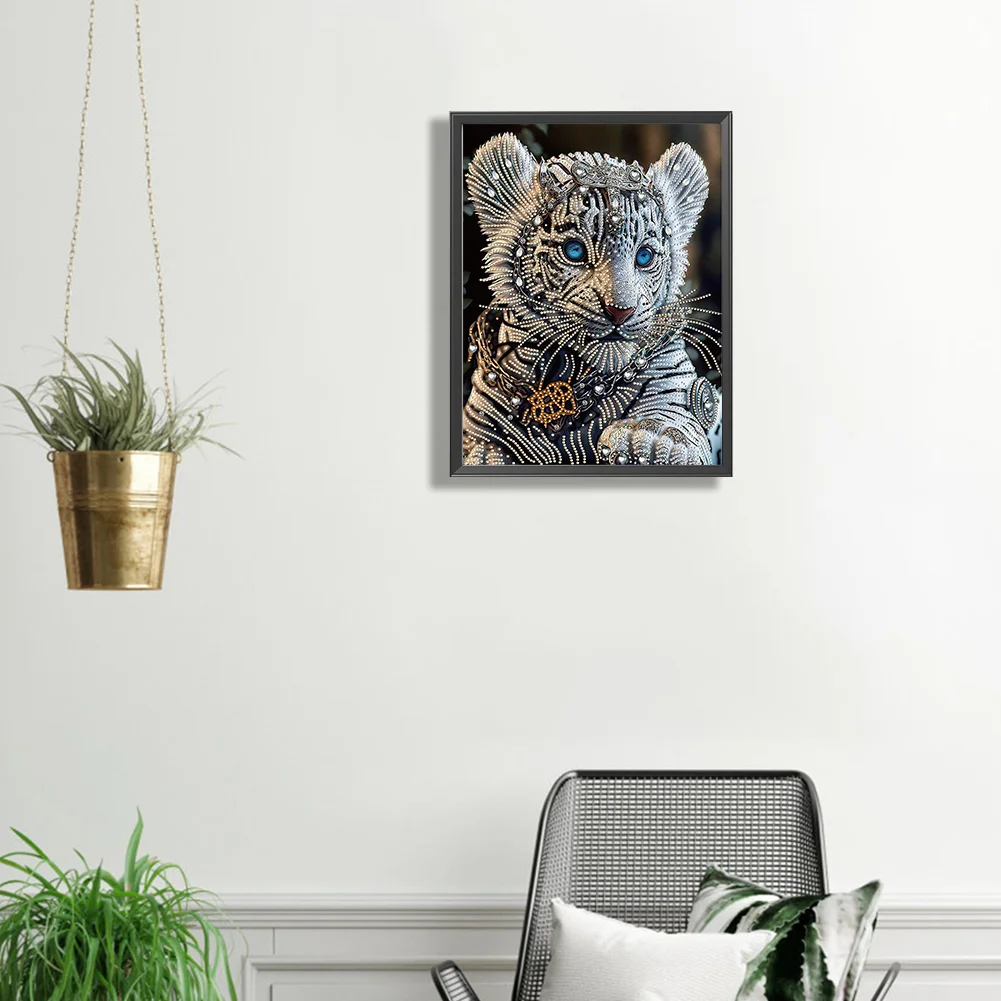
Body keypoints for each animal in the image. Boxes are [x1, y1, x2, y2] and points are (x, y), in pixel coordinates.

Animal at [462, 132, 721, 466]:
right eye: (574, 250)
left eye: (644, 256)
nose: (620, 311)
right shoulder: (481, 430)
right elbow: (486, 452)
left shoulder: (675, 391)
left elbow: (672, 421)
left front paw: (648, 440)